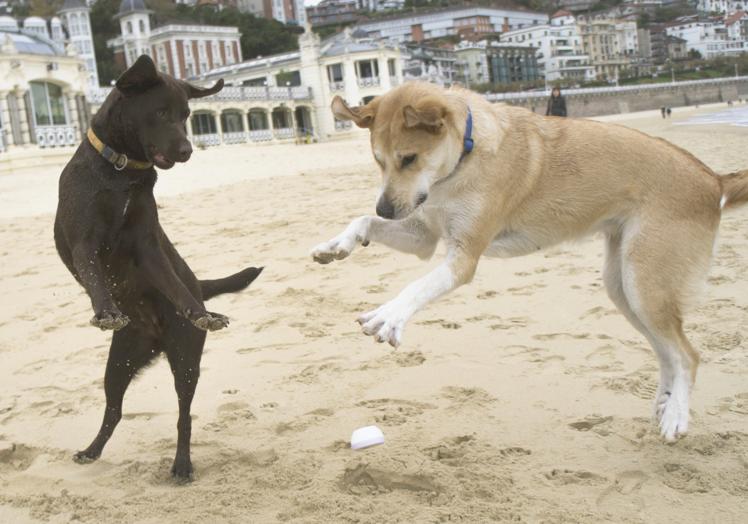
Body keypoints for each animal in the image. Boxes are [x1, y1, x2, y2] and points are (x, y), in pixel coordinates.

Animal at [308, 83, 748, 442]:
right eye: (378, 161)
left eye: (409, 158)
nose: (384, 206)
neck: (465, 156)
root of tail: (714, 180)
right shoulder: (422, 236)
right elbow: (362, 222)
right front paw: (338, 243)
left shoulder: (463, 256)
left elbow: (416, 287)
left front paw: (390, 315)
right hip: (625, 287)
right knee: (667, 352)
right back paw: (665, 403)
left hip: (646, 285)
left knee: (686, 355)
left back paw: (676, 416)